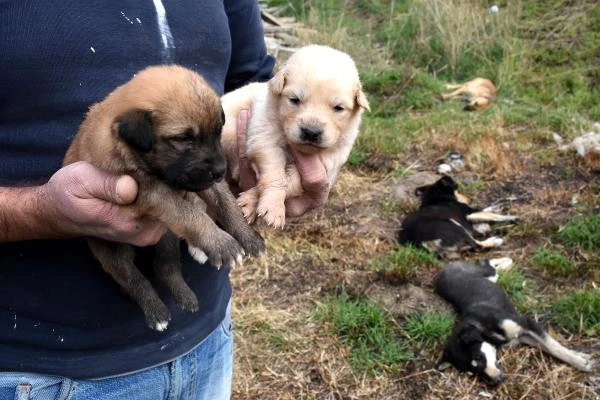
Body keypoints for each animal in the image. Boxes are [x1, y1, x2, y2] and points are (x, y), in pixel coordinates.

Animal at [62, 64, 264, 330]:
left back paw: (185, 295)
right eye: (183, 138)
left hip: (166, 235)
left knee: (164, 266)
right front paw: (221, 243)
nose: (221, 170)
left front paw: (248, 236)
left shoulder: (202, 181)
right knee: (132, 279)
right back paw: (156, 312)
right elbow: (189, 214)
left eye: (218, 131)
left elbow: (226, 203)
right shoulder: (151, 192)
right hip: (110, 248)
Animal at [221, 44, 370, 228]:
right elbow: (275, 176)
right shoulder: (264, 138)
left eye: (338, 108)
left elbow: (291, 181)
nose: (311, 132)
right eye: (294, 99)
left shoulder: (329, 161)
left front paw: (251, 202)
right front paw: (273, 207)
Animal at [436, 260, 596, 384]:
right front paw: (582, 357)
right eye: (471, 372)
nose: (497, 382)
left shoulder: (527, 323)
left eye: (479, 357)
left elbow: (554, 347)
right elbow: (549, 347)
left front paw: (580, 363)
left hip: (486, 273)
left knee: (488, 264)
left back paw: (505, 260)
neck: (483, 329)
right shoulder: (523, 337)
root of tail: (442, 270)